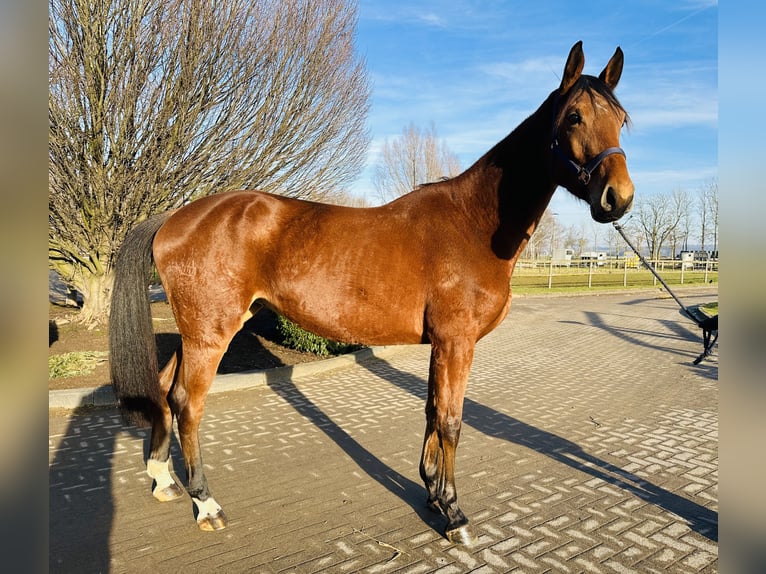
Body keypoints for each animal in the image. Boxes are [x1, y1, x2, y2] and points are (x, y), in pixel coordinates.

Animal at [109, 41, 636, 544]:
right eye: (574, 116)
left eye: (622, 120)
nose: (619, 198)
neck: (473, 223)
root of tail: (174, 218)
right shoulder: (457, 343)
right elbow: (451, 421)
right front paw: (455, 514)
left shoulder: (441, 345)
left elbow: (431, 411)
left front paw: (432, 495)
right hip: (210, 334)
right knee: (187, 402)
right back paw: (207, 505)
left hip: (199, 331)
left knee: (164, 390)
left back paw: (163, 480)